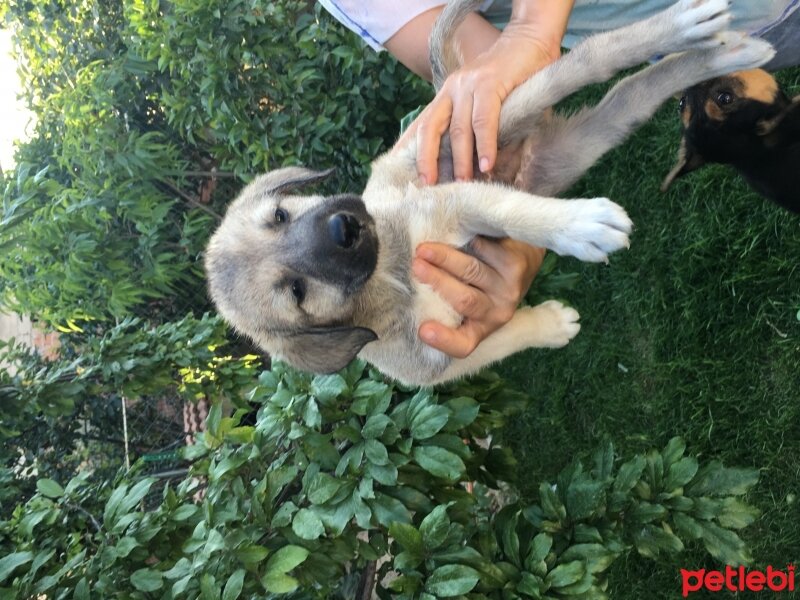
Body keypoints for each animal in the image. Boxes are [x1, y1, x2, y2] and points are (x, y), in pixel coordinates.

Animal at [205, 0, 776, 384]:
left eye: (280, 214)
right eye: (294, 293)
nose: (345, 226)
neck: (393, 273)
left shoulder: (449, 200)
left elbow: (510, 211)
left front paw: (578, 225)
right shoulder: (446, 356)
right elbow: (504, 338)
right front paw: (551, 323)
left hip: (491, 117)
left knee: (590, 59)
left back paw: (700, 35)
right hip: (577, 145)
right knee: (630, 94)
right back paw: (716, 57)